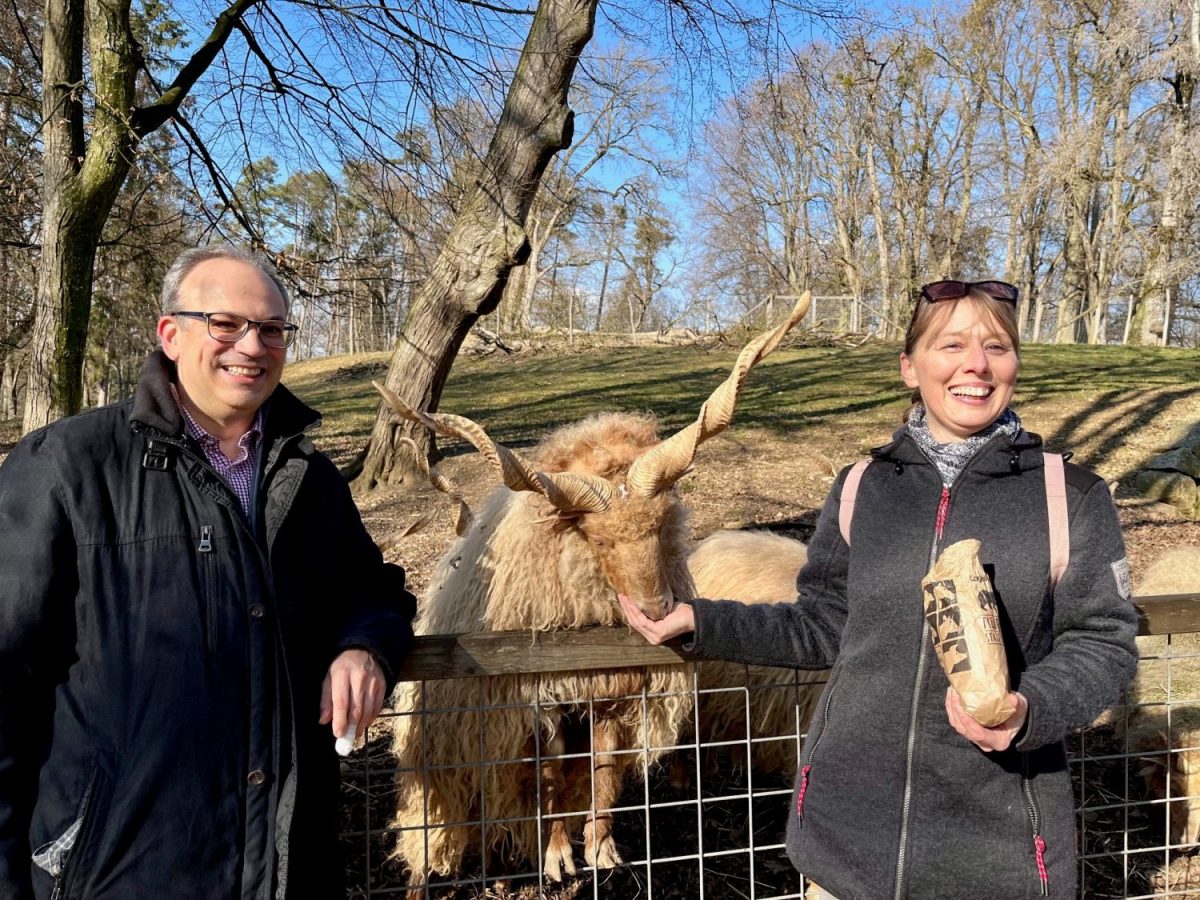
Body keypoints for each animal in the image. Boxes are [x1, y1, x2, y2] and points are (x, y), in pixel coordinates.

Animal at [369, 297, 811, 897]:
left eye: (661, 523)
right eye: (597, 539)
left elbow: (601, 769)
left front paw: (601, 849)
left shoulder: (608, 697)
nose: (657, 612)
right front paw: (557, 857)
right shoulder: (543, 703)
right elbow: (551, 776)